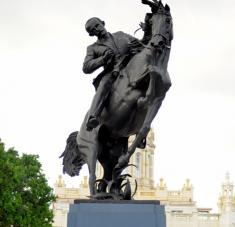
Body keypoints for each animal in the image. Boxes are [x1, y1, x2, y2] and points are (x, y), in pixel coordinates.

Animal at [60, 0, 173, 199]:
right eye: (153, 21)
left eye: (167, 20)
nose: (156, 43)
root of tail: (79, 133)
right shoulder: (131, 85)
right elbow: (150, 74)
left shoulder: (159, 100)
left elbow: (144, 128)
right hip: (91, 146)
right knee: (92, 174)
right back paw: (97, 195)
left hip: (110, 152)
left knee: (107, 175)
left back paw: (113, 191)